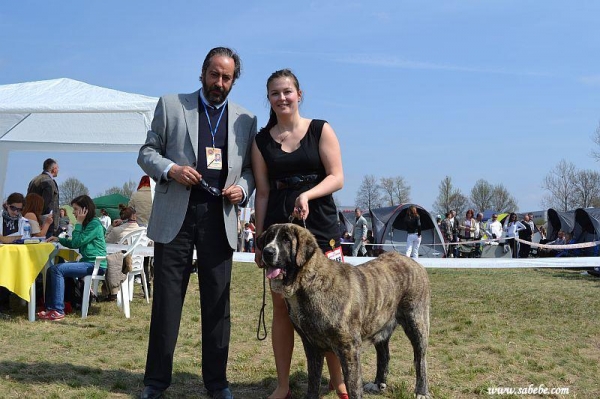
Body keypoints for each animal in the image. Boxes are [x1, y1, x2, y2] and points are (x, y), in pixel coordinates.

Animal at [258, 225, 432, 399]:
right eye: (269, 238)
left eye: (286, 239)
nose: (267, 252)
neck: (308, 282)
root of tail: (413, 262)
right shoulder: (311, 346)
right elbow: (313, 381)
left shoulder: (349, 348)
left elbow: (353, 386)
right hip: (380, 324)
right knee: (384, 354)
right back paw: (378, 383)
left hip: (417, 323)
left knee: (420, 359)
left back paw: (421, 391)